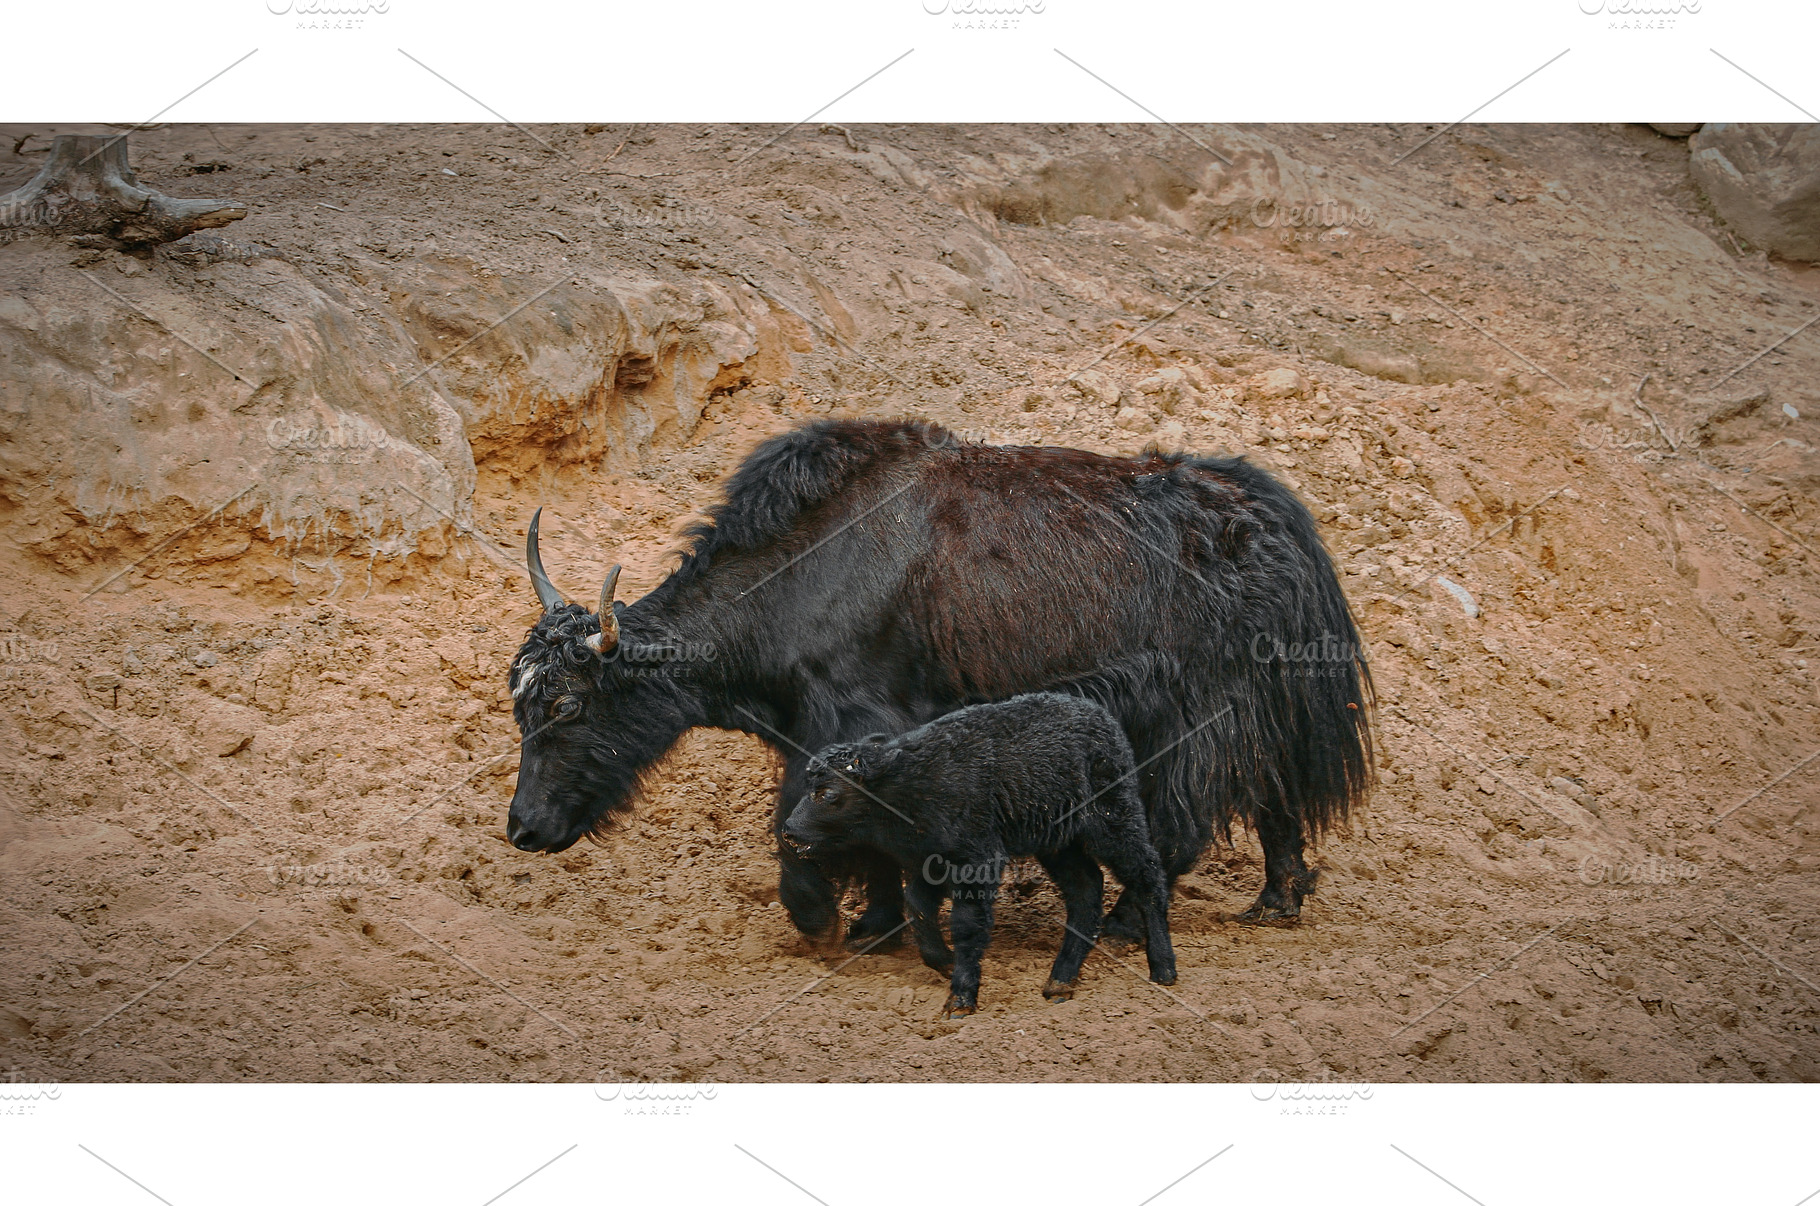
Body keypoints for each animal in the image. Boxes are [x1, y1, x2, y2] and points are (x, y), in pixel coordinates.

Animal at [504, 418, 1372, 951]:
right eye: (520, 705)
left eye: (567, 704)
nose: (522, 829)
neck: (801, 573)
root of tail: (1275, 516)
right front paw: (875, 922)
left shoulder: (852, 725)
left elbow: (798, 823)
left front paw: (823, 921)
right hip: (1261, 708)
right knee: (1274, 798)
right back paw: (1276, 902)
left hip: (1206, 709)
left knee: (1192, 818)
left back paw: (1128, 924)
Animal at [782, 692, 1177, 1018]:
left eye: (826, 793)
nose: (788, 829)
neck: (909, 784)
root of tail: (1102, 718)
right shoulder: (928, 864)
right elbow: (919, 913)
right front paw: (944, 963)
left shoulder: (977, 861)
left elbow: (967, 924)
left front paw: (960, 1000)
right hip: (1058, 842)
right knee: (1087, 890)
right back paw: (1060, 982)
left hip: (1114, 820)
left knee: (1147, 876)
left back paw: (1163, 969)